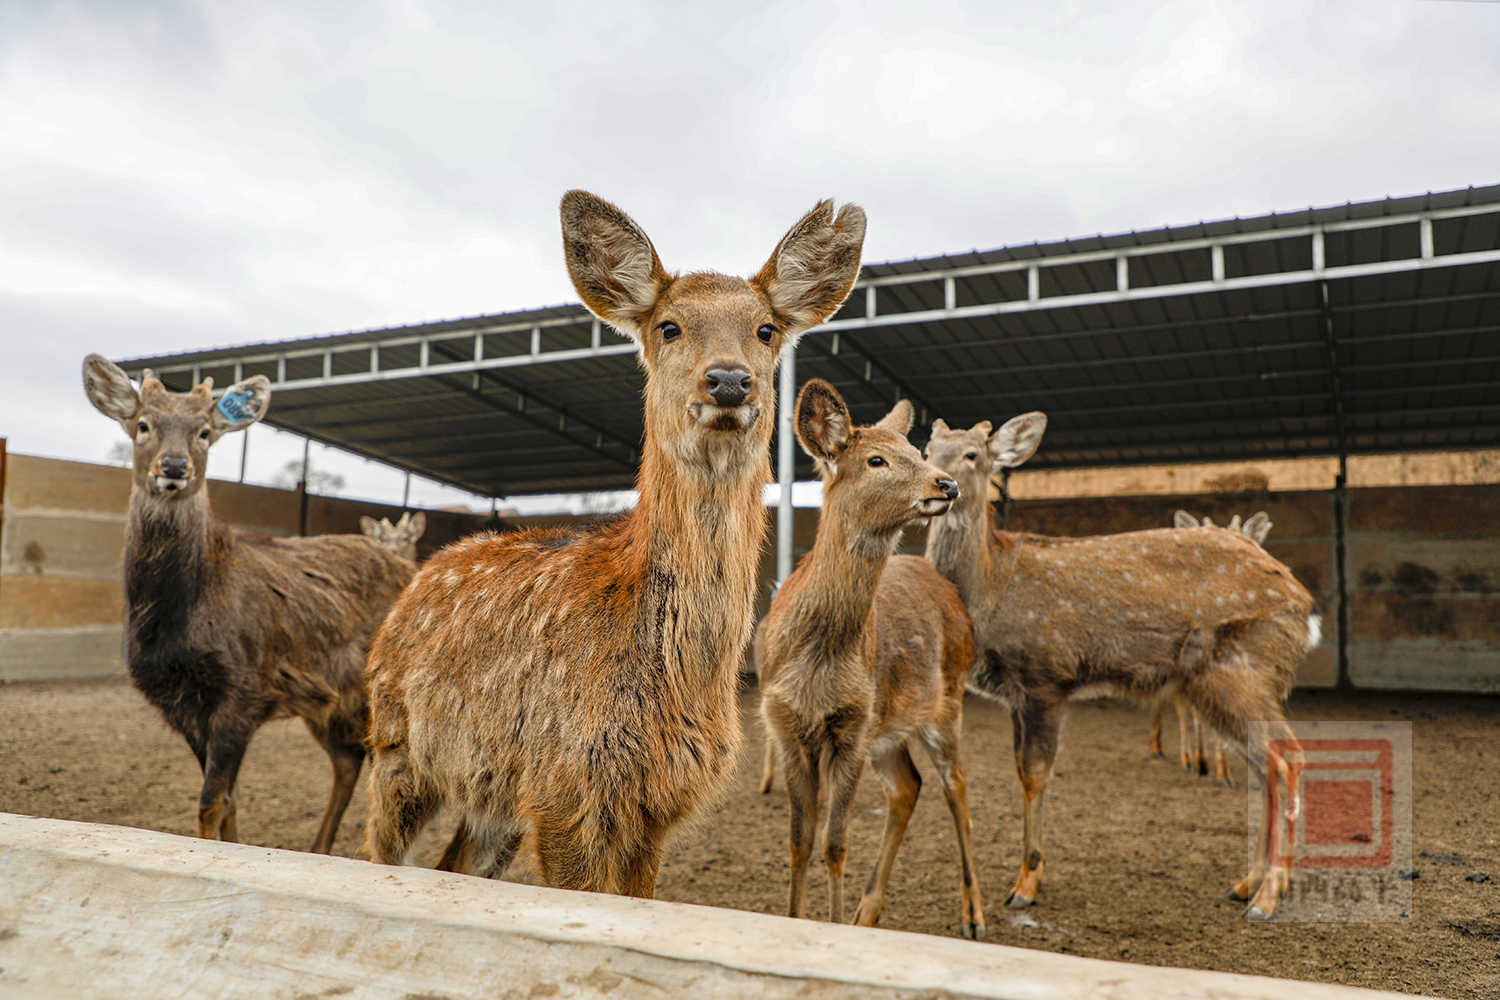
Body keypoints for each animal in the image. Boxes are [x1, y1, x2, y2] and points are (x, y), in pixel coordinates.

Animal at [82, 355, 417, 857]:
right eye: (143, 424)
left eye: (204, 431)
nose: (175, 466)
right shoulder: (184, 709)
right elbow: (230, 800)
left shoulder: (242, 691)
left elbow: (210, 803)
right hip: (333, 702)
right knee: (348, 761)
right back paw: (319, 848)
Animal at [361, 191, 870, 893]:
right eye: (669, 327)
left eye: (767, 329)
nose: (729, 380)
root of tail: (416, 579)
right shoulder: (565, 785)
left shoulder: (654, 808)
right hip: (395, 745)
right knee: (379, 849)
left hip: (492, 790)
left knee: (456, 863)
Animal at [762, 380, 984, 941]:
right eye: (877, 459)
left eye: (918, 451)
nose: (947, 485)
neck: (818, 663)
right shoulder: (784, 725)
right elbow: (799, 840)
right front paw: (795, 919)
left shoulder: (854, 727)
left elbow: (835, 843)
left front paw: (830, 924)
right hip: (891, 728)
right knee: (908, 787)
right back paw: (868, 911)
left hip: (947, 701)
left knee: (957, 789)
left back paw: (974, 914)